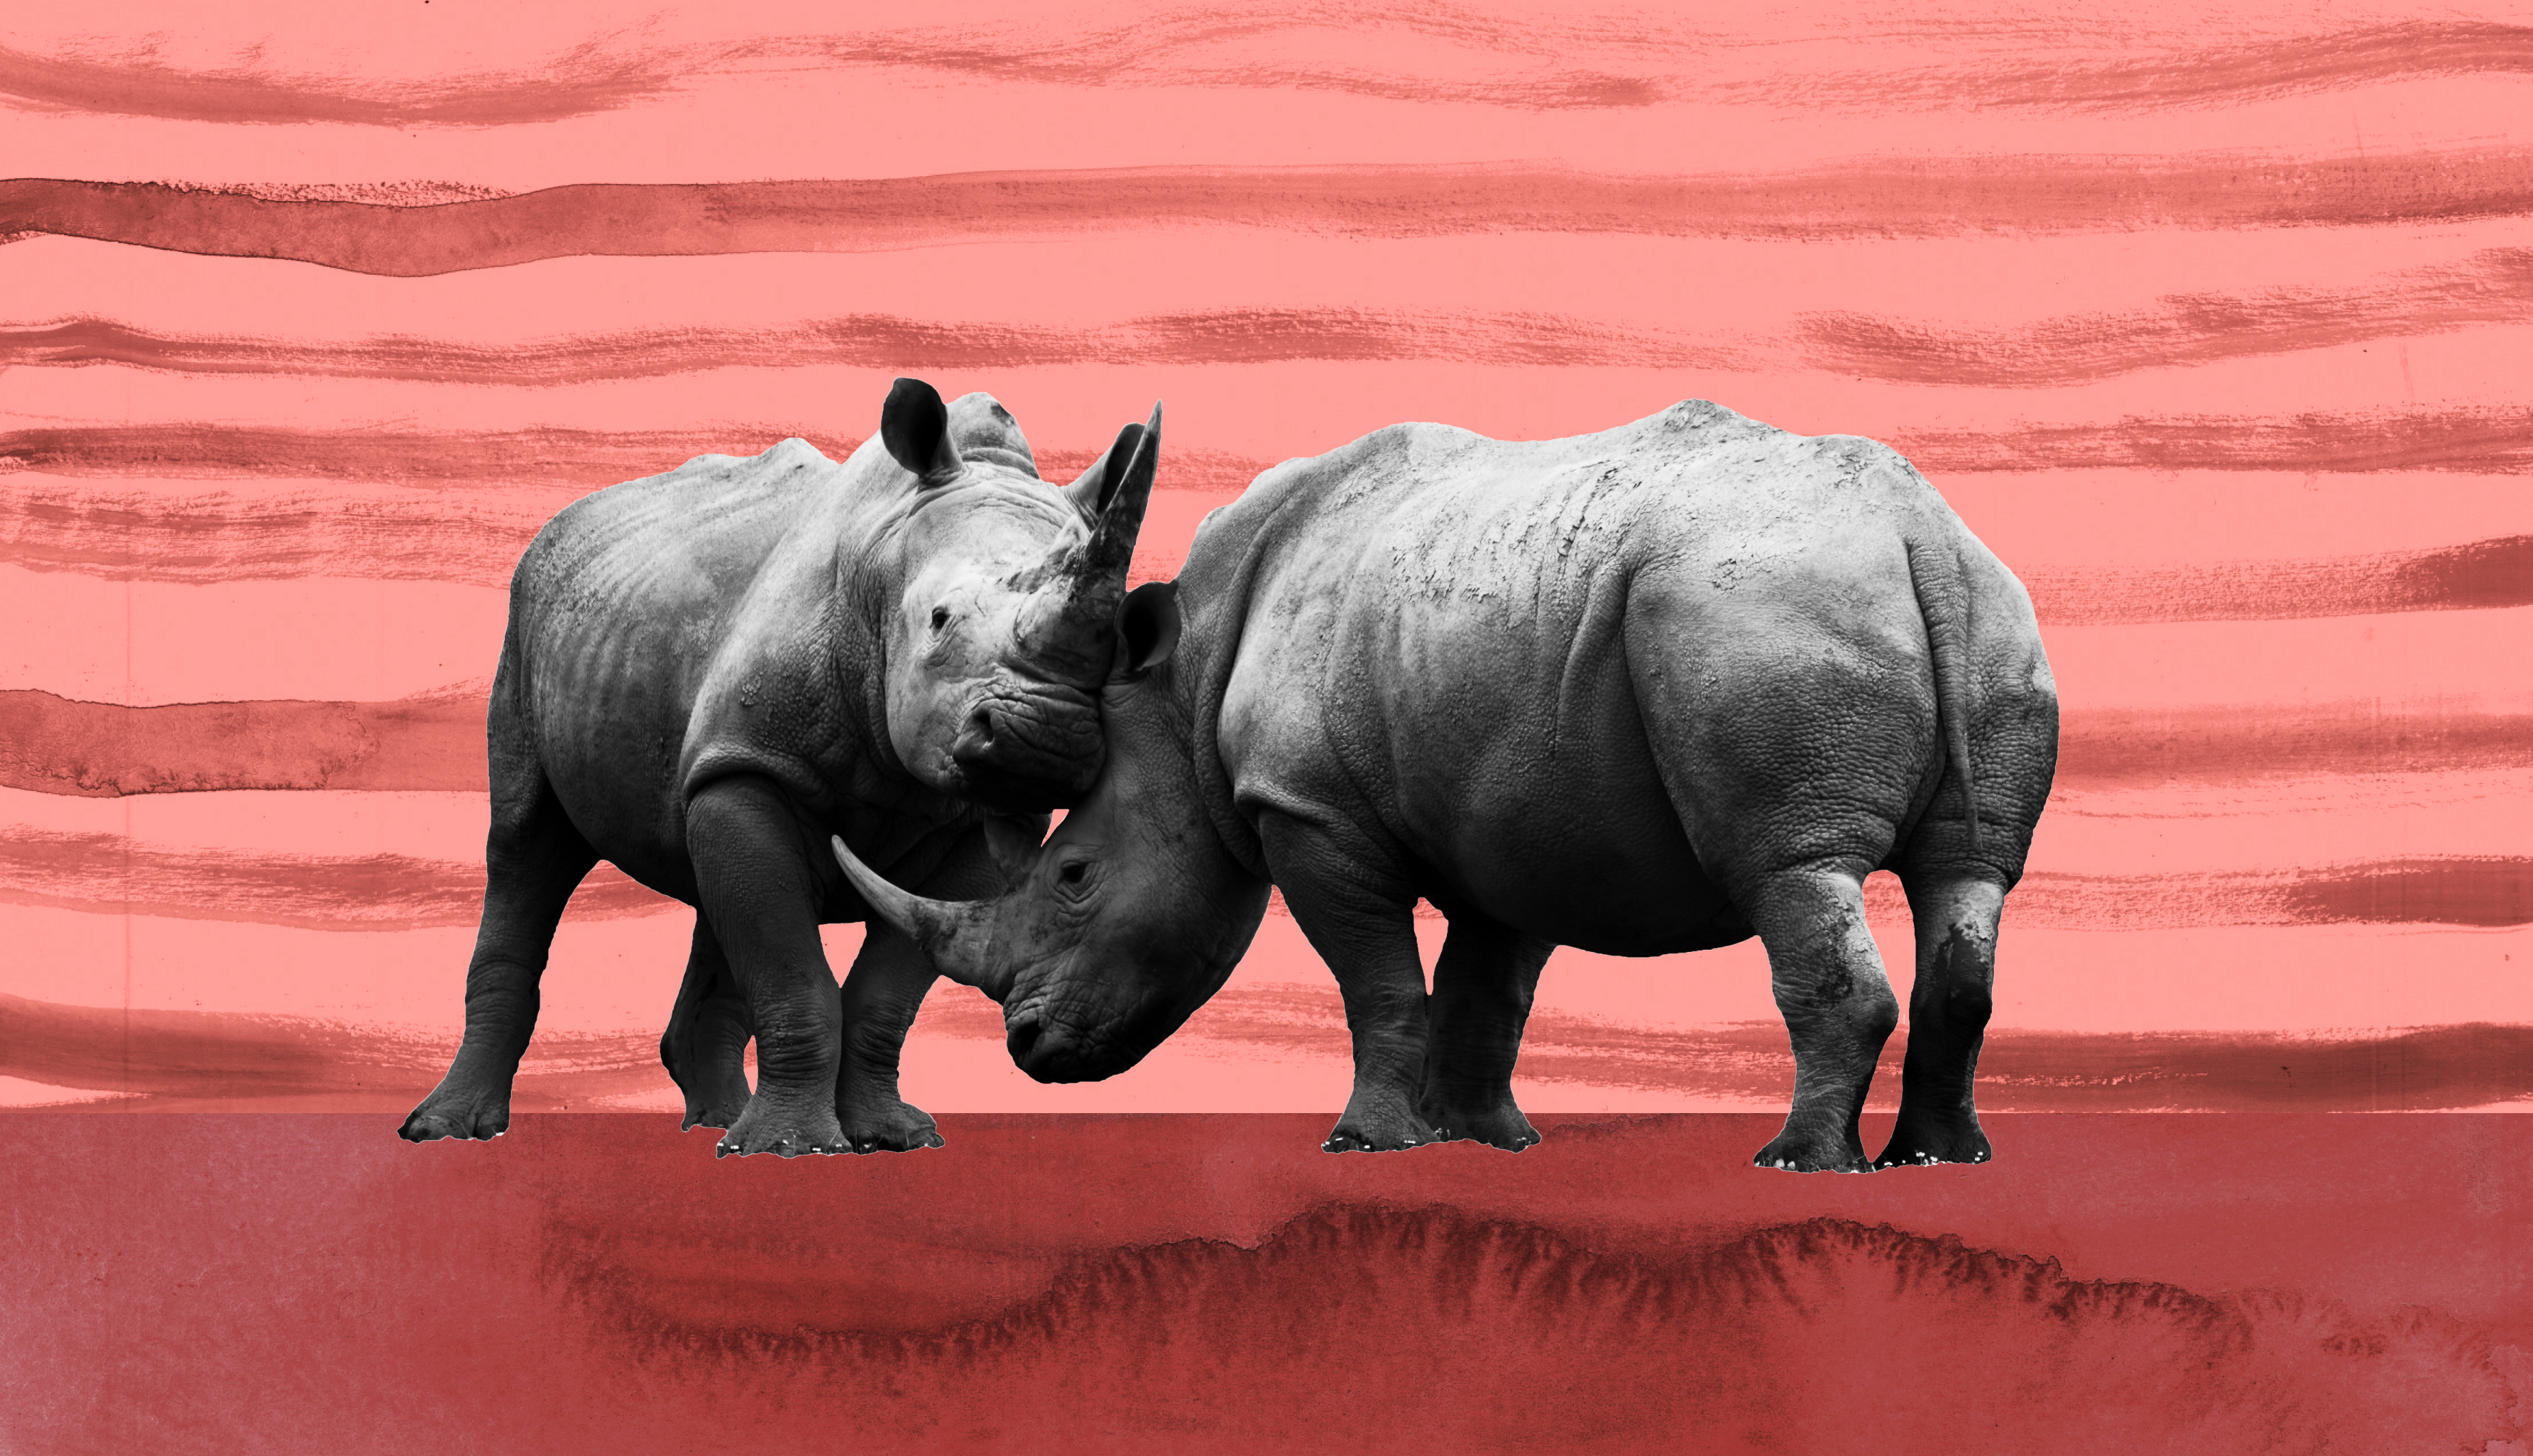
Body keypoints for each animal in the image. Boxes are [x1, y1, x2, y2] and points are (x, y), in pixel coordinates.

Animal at [400, 378, 1164, 1157]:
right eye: (940, 619)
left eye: (1119, 644)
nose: (1044, 736)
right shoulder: (753, 763)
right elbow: (792, 967)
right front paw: (791, 1149)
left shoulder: (969, 823)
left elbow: (884, 982)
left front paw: (891, 1137)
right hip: (529, 622)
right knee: (525, 845)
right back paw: (447, 1130)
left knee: (709, 868)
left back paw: (720, 1123)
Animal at [833, 401, 2059, 1172]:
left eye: (1075, 876)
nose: (1028, 1047)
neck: (1175, 696)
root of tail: (1916, 534)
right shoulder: (1518, 813)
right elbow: (1486, 984)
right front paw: (1485, 1139)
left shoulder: (1308, 808)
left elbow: (1377, 979)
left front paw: (1368, 1142)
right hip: (1983, 611)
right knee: (1967, 877)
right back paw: (1939, 1160)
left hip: (1754, 609)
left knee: (1795, 867)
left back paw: (1799, 1163)